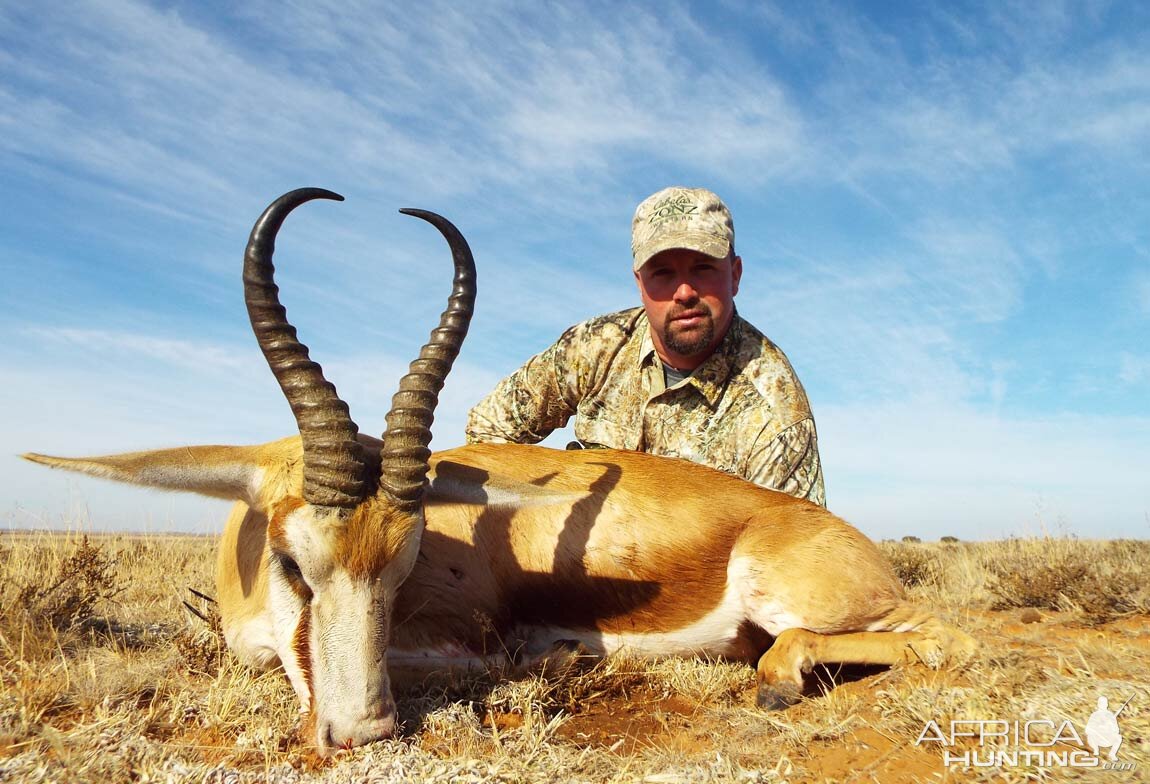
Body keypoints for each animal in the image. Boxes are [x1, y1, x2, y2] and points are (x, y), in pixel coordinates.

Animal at [22, 187, 975, 749]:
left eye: (406, 565)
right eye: (295, 562)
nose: (365, 731)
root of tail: (845, 537)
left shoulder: (466, 638)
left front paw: (558, 659)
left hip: (798, 600)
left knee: (941, 638)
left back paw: (775, 683)